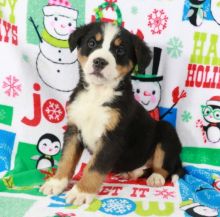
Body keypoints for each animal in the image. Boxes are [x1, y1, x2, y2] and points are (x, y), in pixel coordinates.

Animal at [40, 22, 184, 207]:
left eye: (120, 50)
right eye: (92, 43)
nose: (100, 61)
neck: (97, 94)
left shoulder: (112, 137)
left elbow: (94, 167)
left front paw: (81, 192)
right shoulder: (73, 129)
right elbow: (67, 158)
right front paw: (56, 183)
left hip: (166, 130)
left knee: (165, 166)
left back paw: (155, 178)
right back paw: (131, 173)